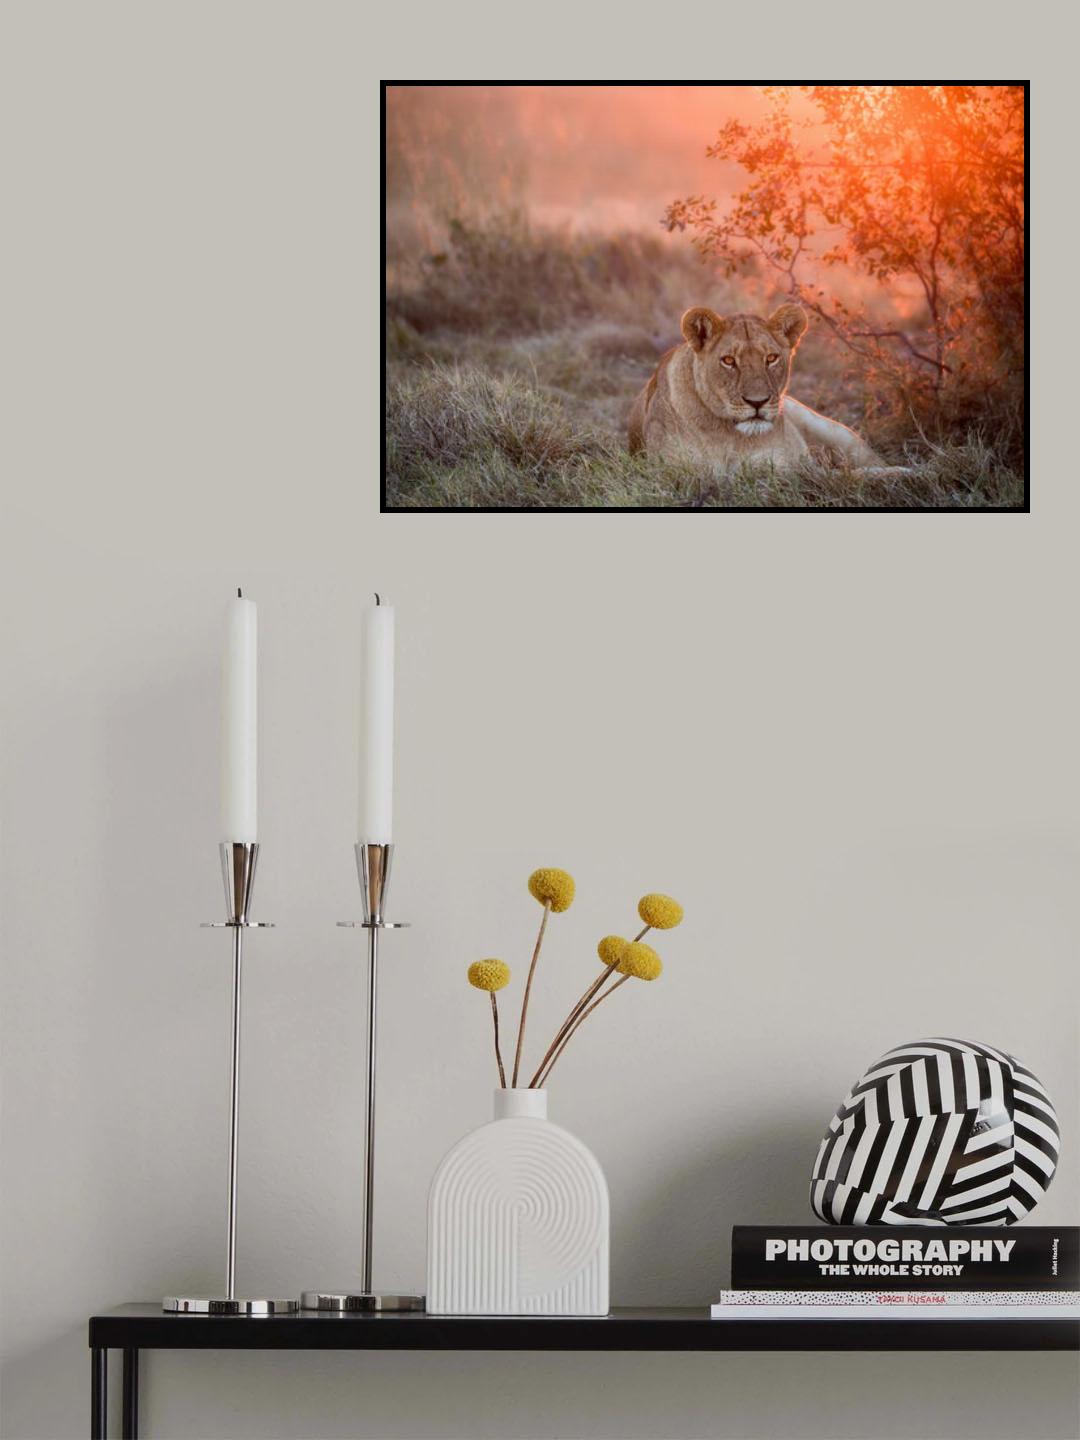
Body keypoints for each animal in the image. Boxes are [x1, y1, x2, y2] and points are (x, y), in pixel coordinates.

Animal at [628, 304, 885, 471]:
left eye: (771, 358)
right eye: (728, 360)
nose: (757, 402)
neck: (730, 437)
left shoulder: (787, 465)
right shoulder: (674, 470)